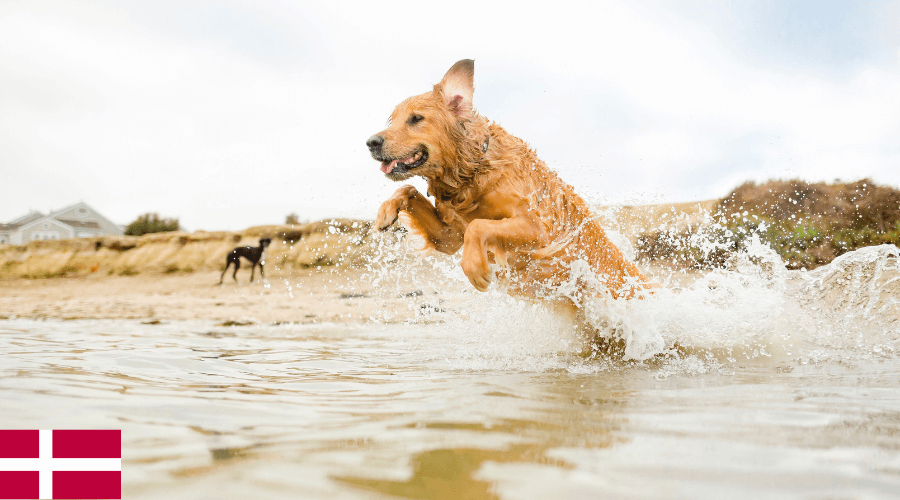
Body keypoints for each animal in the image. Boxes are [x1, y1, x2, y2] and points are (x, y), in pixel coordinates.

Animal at [366, 59, 652, 308]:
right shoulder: (449, 236)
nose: (371, 142)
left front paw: (474, 267)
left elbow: (479, 226)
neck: (472, 173)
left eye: (416, 119)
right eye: (392, 120)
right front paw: (386, 212)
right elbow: (408, 189)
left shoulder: (538, 229)